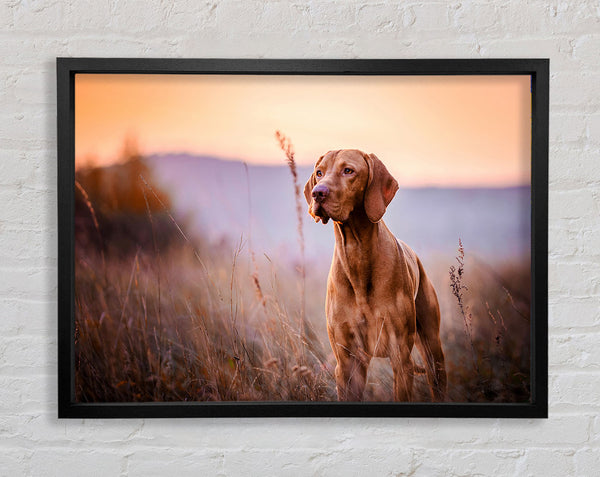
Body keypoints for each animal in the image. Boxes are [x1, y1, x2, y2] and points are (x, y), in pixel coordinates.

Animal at [304, 149, 446, 402]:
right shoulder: (348, 362)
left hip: (432, 349)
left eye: (348, 170)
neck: (357, 254)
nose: (317, 192)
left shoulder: (400, 357)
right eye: (319, 172)